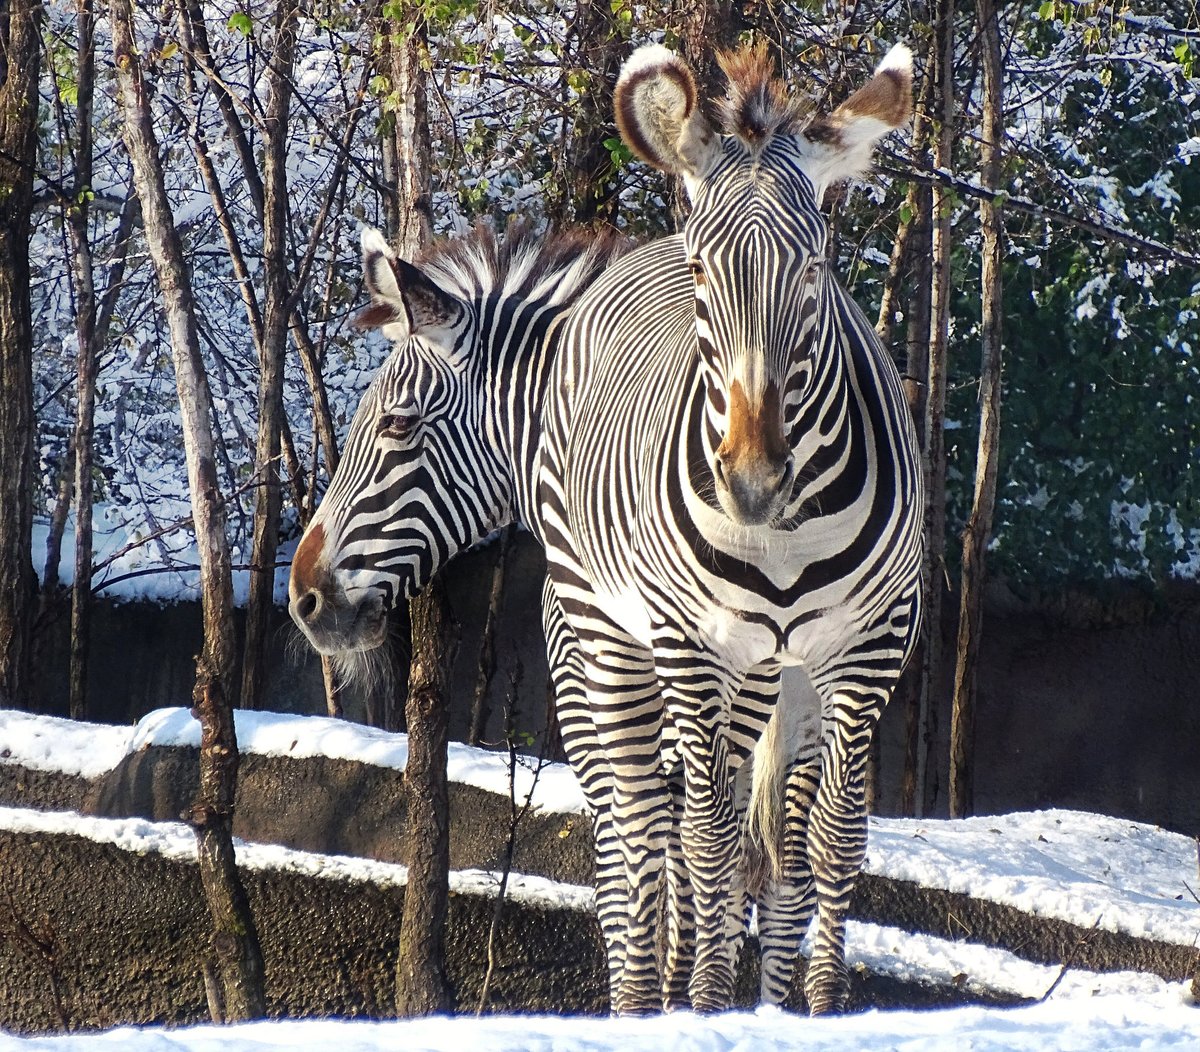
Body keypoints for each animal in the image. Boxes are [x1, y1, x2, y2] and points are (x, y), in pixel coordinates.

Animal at [536, 41, 922, 1015]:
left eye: (817, 268)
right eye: (706, 276)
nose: (752, 482)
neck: (783, 535)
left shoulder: (868, 647)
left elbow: (830, 838)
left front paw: (817, 1008)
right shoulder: (689, 643)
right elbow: (706, 842)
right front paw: (707, 1006)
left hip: (768, 677)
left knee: (742, 823)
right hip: (611, 633)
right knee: (642, 822)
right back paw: (646, 1000)